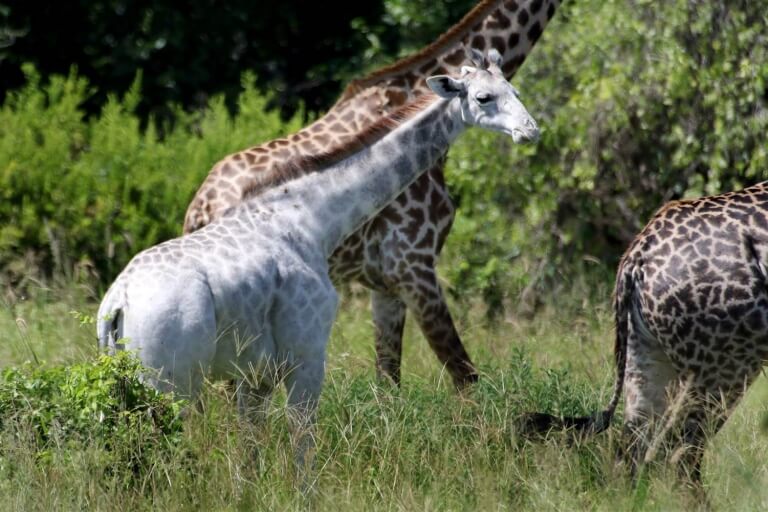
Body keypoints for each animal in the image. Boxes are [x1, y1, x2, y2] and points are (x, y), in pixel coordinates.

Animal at [98, 58, 540, 474]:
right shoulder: (307, 354)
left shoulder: (254, 374)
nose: (531, 131)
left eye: (515, 90)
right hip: (170, 382)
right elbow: (302, 450)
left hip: (127, 385)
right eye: (483, 97)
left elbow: (249, 455)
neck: (313, 218)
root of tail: (115, 303)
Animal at [183, 0, 561, 388]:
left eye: (518, 94)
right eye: (484, 98)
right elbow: (464, 376)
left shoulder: (384, 283)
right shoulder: (414, 265)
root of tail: (199, 209)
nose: (531, 131)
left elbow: (388, 379)